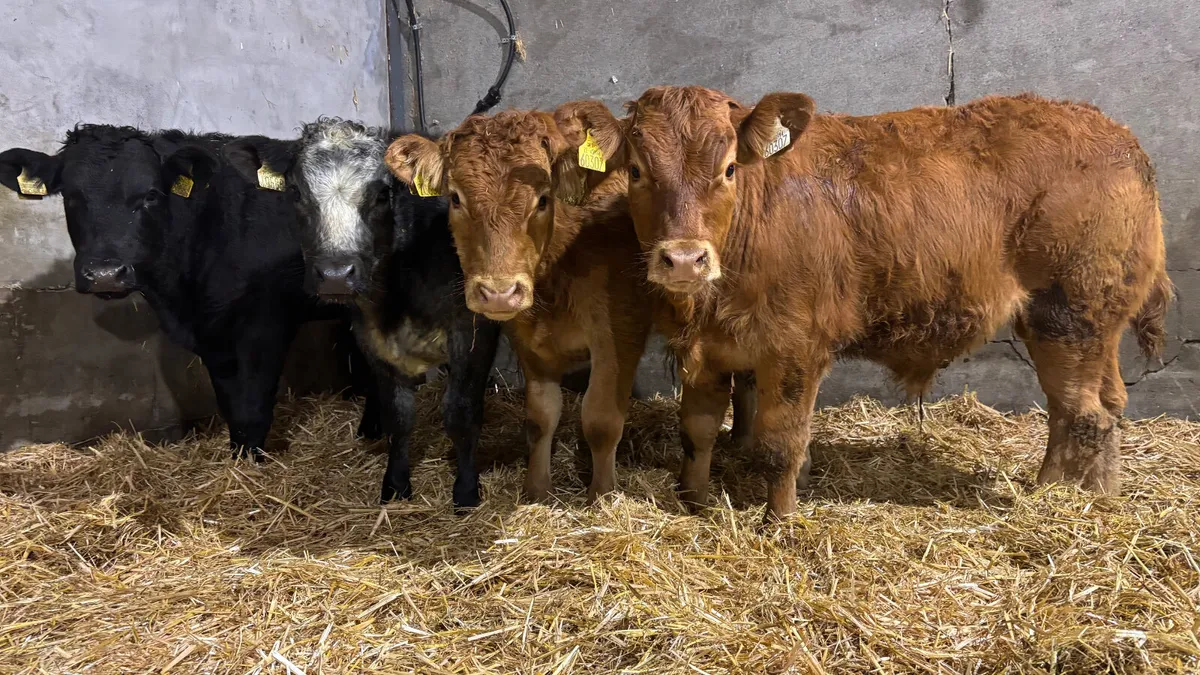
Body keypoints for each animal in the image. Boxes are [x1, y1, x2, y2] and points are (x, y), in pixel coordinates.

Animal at [0, 125, 376, 461]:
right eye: (70, 196)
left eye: (151, 195)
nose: (105, 274)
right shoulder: (213, 335)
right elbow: (231, 404)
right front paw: (237, 459)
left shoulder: (265, 324)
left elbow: (253, 406)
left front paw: (252, 466)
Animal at [223, 119, 502, 509]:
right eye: (295, 192)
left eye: (383, 194)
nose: (336, 274)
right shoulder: (372, 336)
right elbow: (398, 416)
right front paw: (395, 485)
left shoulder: (472, 331)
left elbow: (460, 412)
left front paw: (465, 491)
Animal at [385, 111, 756, 503]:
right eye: (456, 198)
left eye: (543, 199)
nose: (499, 292)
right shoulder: (527, 339)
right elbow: (540, 416)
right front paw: (536, 489)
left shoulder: (619, 334)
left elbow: (601, 420)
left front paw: (601, 495)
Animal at [553, 88, 1173, 520]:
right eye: (636, 170)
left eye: (728, 169)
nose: (683, 259)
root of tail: (1121, 138)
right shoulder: (708, 347)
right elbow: (698, 428)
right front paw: (695, 500)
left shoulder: (796, 346)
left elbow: (781, 442)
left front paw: (779, 521)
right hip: (1098, 322)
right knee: (1109, 404)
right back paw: (1103, 496)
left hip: (1066, 315)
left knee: (1082, 415)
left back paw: (1048, 497)